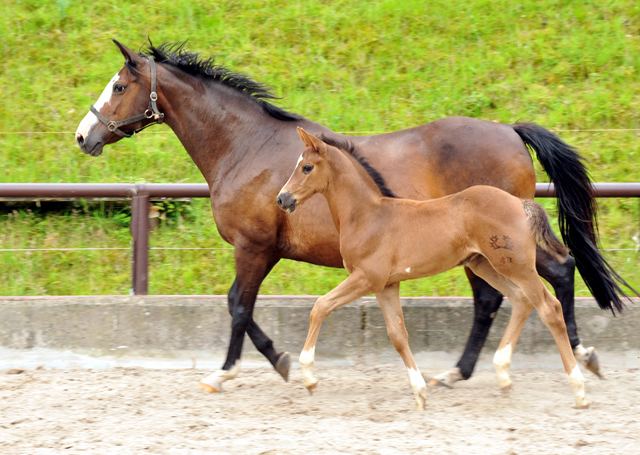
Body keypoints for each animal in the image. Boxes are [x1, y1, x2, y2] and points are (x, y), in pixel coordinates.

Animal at [278, 127, 588, 410]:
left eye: (306, 167)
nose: (282, 198)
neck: (368, 215)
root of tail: (521, 203)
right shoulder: (386, 285)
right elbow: (398, 335)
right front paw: (420, 392)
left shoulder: (367, 278)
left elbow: (320, 306)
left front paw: (309, 378)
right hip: (486, 265)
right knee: (522, 301)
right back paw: (502, 374)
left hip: (516, 265)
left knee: (549, 308)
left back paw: (579, 389)